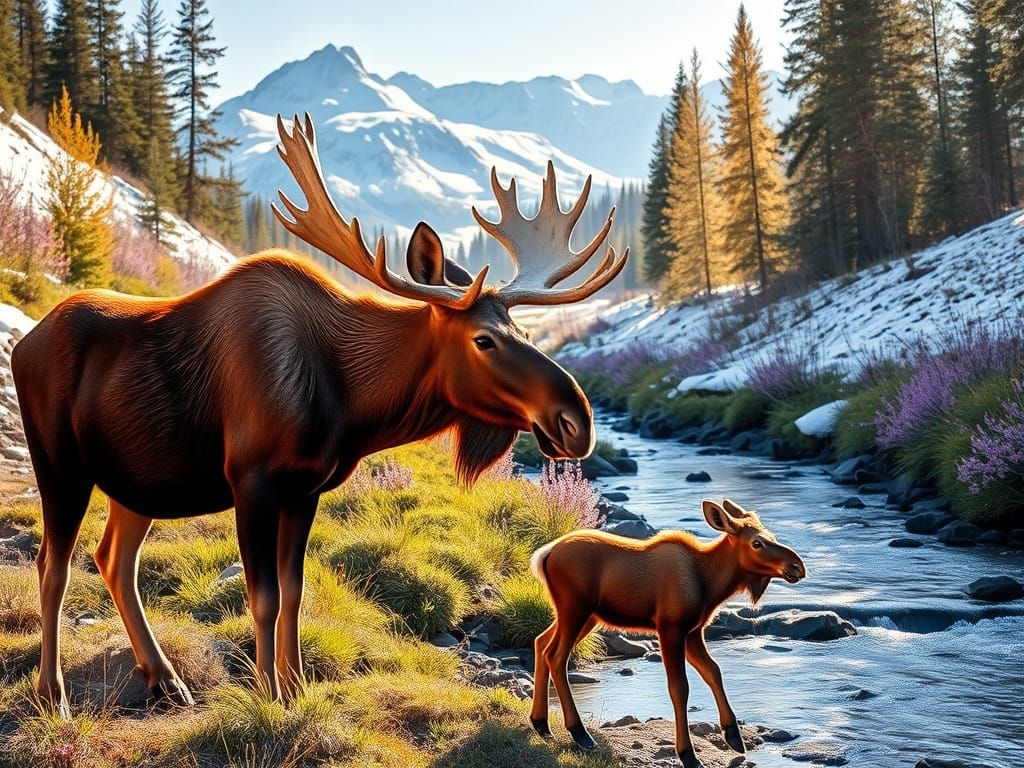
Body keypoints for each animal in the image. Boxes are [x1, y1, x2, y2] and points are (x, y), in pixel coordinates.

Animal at [11, 113, 628, 719]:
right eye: (484, 340)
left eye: (520, 328)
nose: (576, 420)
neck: (351, 405)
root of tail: (24, 343)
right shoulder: (252, 480)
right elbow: (262, 596)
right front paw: (267, 694)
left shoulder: (305, 489)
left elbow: (294, 591)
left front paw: (297, 688)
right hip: (60, 466)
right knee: (53, 566)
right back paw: (54, 695)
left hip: (138, 483)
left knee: (114, 559)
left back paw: (165, 679)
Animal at [528, 498, 806, 768]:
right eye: (756, 542)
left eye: (771, 535)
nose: (797, 567)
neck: (710, 584)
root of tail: (545, 554)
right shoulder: (670, 627)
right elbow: (679, 688)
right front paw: (688, 755)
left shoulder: (693, 632)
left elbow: (713, 672)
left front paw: (733, 735)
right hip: (576, 608)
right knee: (556, 656)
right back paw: (580, 733)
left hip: (586, 616)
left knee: (541, 643)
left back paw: (541, 724)